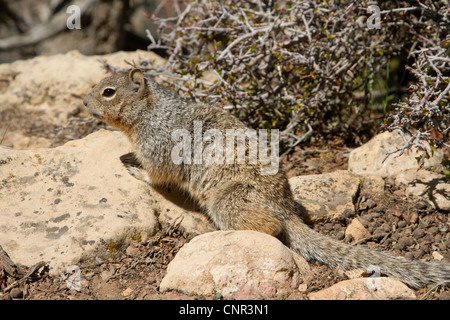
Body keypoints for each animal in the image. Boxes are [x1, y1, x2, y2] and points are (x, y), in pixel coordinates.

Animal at [82, 69, 448, 288]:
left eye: (109, 91)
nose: (84, 101)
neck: (150, 111)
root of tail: (283, 207)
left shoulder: (158, 147)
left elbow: (155, 173)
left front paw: (133, 166)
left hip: (228, 199)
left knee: (270, 228)